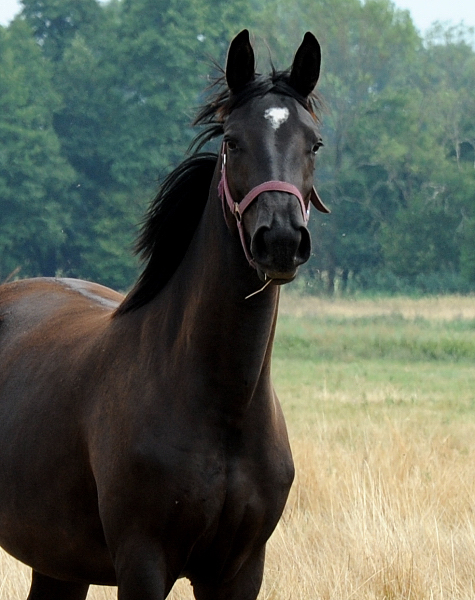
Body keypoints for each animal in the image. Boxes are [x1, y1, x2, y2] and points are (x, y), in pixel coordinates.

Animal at [0, 31, 330, 600]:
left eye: (313, 144)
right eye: (232, 142)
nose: (281, 240)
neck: (222, 406)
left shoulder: (240, 571)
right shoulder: (142, 563)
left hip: (58, 562)